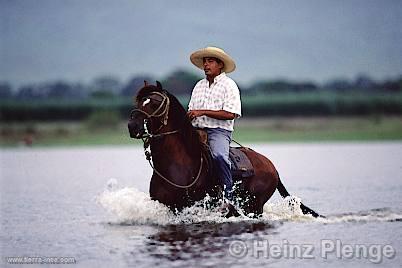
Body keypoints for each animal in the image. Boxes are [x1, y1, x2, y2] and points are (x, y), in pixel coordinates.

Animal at [127, 81, 322, 218]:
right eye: (138, 101)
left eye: (155, 103)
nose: (132, 126)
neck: (178, 163)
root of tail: (271, 165)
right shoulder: (169, 207)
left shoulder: (187, 206)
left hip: (255, 206)